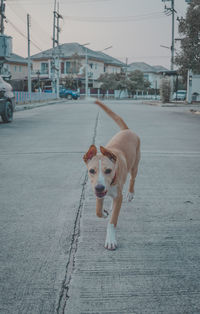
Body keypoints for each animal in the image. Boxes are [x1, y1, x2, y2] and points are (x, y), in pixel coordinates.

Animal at [83, 100, 141, 250]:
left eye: (108, 171)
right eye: (91, 171)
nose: (99, 188)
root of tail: (127, 130)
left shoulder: (118, 197)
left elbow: (112, 221)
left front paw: (110, 240)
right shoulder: (99, 194)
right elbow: (97, 211)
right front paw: (103, 213)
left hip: (135, 165)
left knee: (133, 179)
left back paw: (130, 194)